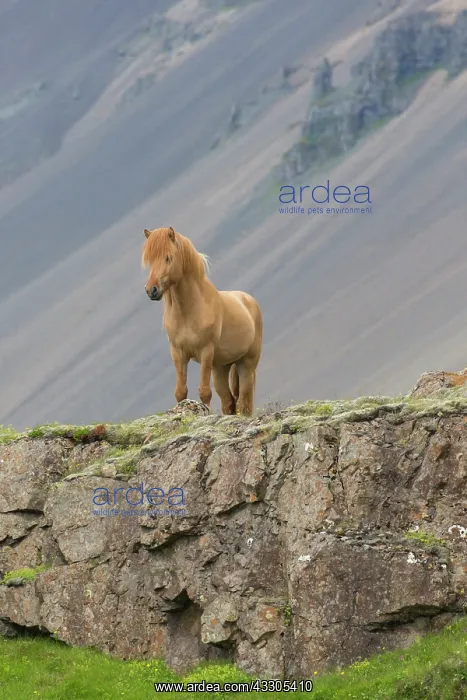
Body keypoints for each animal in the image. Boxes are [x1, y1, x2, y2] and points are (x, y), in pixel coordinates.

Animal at [141, 226, 263, 416]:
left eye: (168, 257)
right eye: (149, 260)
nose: (151, 290)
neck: (189, 311)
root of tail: (248, 299)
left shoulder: (206, 352)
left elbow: (205, 392)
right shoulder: (178, 353)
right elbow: (180, 392)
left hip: (246, 364)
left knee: (244, 402)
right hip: (221, 367)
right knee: (229, 402)